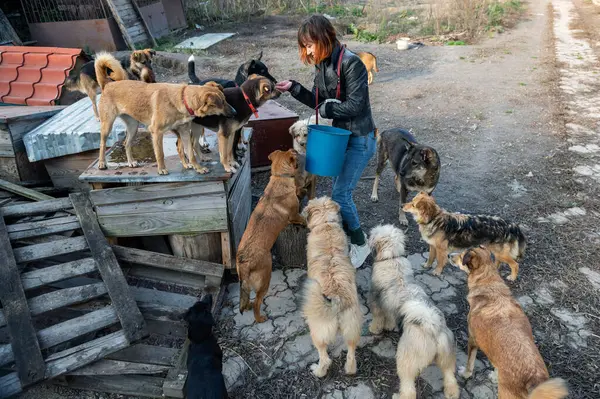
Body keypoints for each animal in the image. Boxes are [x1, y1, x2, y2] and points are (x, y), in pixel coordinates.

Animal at [236, 148, 304, 324]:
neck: (280, 177)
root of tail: (244, 261)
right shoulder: (295, 215)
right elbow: (303, 218)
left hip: (246, 283)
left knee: (247, 298)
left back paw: (247, 306)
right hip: (265, 279)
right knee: (257, 302)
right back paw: (260, 318)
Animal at [300, 198, 360, 380]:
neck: (326, 223)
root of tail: (337, 300)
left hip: (318, 332)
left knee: (325, 358)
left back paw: (318, 371)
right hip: (352, 328)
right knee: (351, 355)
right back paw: (350, 369)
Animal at [366, 225, 460, 399]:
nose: (367, 237)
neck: (392, 257)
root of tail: (431, 327)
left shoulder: (376, 300)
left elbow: (378, 317)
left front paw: (375, 329)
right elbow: (390, 317)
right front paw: (390, 326)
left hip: (406, 359)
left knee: (409, 387)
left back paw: (399, 395)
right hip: (447, 356)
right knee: (450, 375)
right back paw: (451, 392)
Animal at [450, 247, 568, 399]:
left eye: (462, 256)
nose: (449, 255)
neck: (488, 281)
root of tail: (534, 379)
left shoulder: (473, 340)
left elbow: (470, 363)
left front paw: (465, 374)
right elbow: (496, 366)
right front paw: (495, 376)